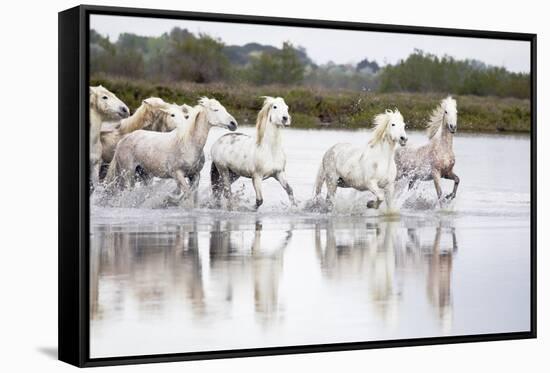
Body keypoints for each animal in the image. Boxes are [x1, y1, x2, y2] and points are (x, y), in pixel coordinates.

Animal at [105, 97, 237, 205]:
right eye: (215, 110)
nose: (233, 124)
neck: (188, 144)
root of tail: (123, 139)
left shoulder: (195, 175)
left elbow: (193, 195)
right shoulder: (177, 173)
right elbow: (187, 194)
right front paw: (170, 200)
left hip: (144, 174)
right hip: (128, 173)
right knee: (127, 191)